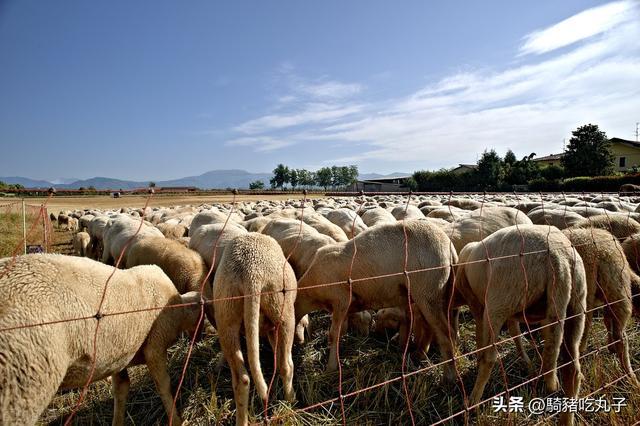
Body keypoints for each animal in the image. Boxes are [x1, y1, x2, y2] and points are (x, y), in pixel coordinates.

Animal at [0, 255, 201, 424]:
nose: (198, 339)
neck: (180, 307)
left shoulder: (118, 357)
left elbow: (121, 389)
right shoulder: (156, 344)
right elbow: (163, 386)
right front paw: (176, 420)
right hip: (21, 384)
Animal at [212, 235, 298, 424]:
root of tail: (251, 273)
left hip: (226, 313)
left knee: (242, 379)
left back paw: (242, 421)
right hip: (283, 311)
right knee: (286, 365)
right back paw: (292, 404)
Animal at [298, 220, 458, 376]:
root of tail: (449, 248)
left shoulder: (341, 299)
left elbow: (333, 334)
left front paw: (330, 368)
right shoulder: (345, 307)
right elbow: (341, 330)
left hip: (428, 292)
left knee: (445, 334)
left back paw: (450, 376)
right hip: (429, 295)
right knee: (430, 327)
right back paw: (419, 355)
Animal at [456, 225, 584, 424]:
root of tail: (558, 257)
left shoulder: (478, 305)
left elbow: (481, 337)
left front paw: (477, 358)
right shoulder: (515, 313)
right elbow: (516, 332)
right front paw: (527, 363)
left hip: (500, 299)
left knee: (490, 358)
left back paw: (472, 403)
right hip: (576, 305)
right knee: (572, 368)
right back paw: (567, 419)